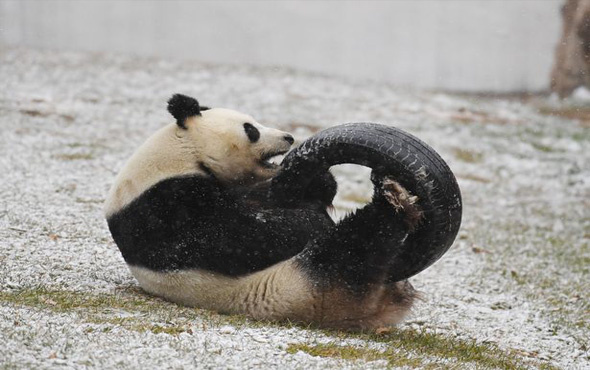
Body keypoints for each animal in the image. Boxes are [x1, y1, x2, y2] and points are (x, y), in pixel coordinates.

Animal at [106, 93, 426, 330]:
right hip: (310, 286)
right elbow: (236, 238)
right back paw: (391, 202)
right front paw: (310, 221)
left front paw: (318, 183)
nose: (288, 137)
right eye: (251, 129)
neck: (183, 152)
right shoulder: (162, 207)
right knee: (355, 245)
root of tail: (381, 307)